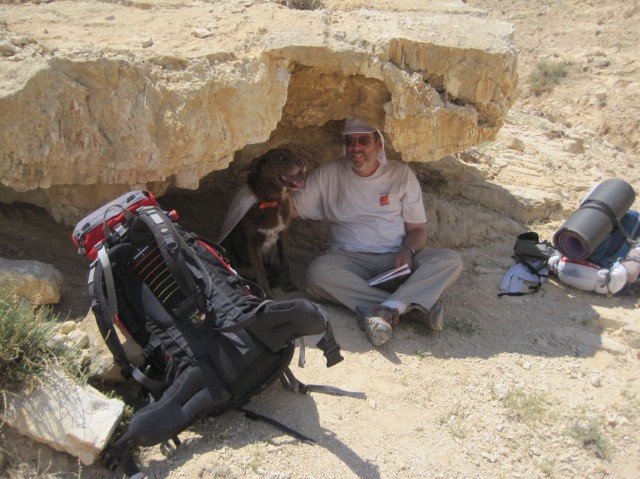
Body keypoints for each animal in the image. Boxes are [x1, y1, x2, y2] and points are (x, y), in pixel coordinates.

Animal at [224, 148, 306, 296]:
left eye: (294, 154)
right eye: (280, 158)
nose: (302, 162)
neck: (272, 202)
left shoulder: (283, 235)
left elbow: (285, 262)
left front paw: (288, 285)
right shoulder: (252, 244)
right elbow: (260, 272)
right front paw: (266, 294)